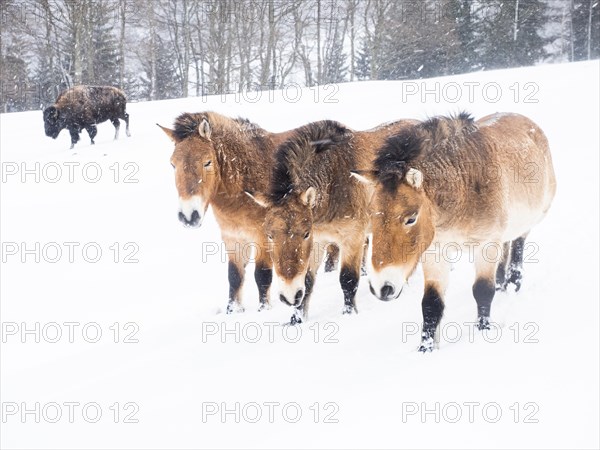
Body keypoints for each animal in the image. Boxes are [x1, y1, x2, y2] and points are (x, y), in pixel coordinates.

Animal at [157, 112, 338, 312]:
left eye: (207, 162)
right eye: (172, 164)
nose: (189, 216)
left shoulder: (262, 237)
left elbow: (262, 275)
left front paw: (263, 309)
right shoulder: (232, 237)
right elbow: (235, 276)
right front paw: (233, 310)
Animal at [247, 119, 418, 324]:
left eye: (305, 233)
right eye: (270, 235)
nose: (289, 296)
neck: (334, 179)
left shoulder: (352, 238)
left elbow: (348, 279)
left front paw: (349, 314)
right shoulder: (319, 241)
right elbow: (307, 281)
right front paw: (296, 319)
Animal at [354, 112, 556, 352]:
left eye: (411, 218)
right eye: (371, 215)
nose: (381, 287)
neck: (464, 185)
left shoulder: (487, 245)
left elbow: (483, 291)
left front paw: (482, 332)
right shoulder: (435, 252)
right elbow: (431, 304)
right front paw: (425, 349)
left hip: (525, 227)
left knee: (517, 247)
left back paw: (513, 283)